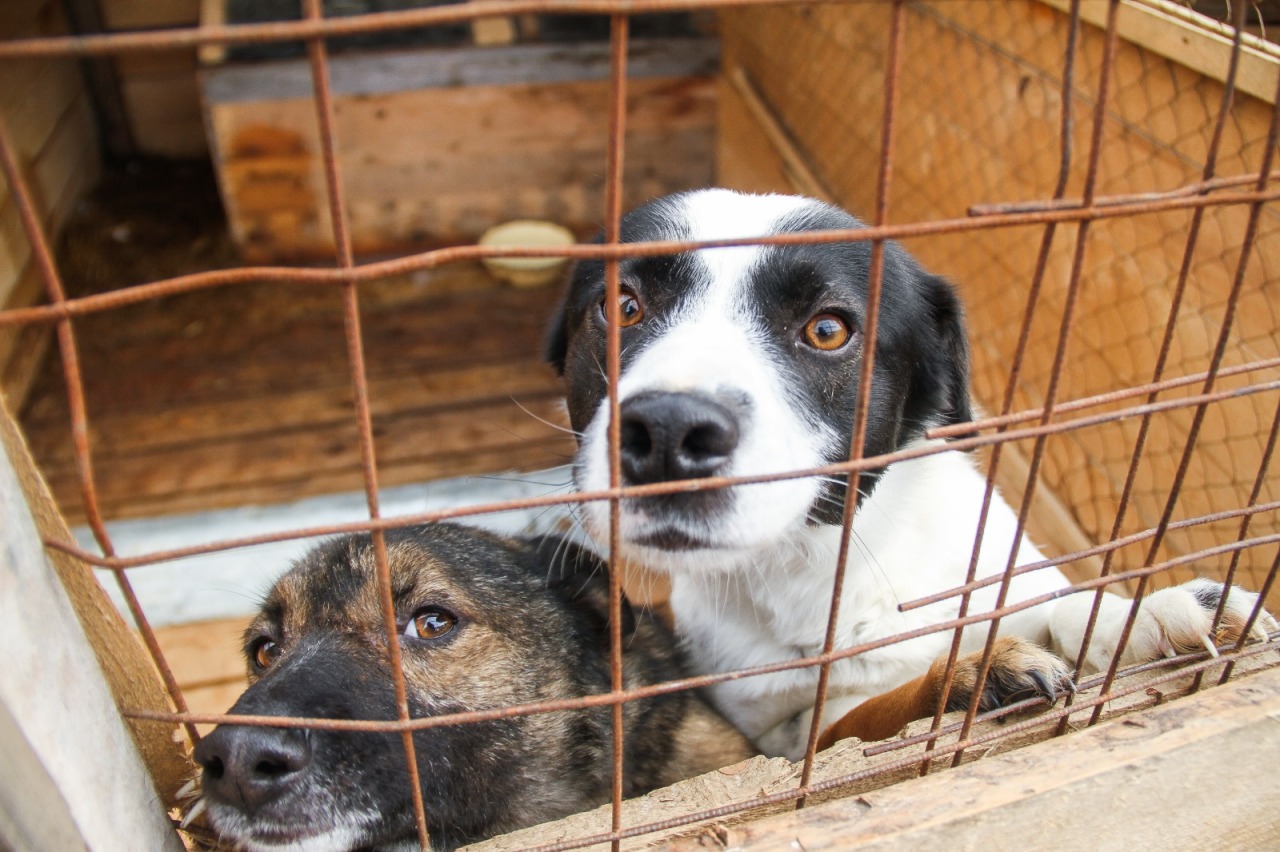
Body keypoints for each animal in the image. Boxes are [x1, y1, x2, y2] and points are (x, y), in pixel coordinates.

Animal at [545, 190, 1274, 757]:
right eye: (624, 306)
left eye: (829, 329)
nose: (669, 433)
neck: (827, 574)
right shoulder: (793, 732)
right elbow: (874, 715)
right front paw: (970, 679)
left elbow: (1069, 607)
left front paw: (1152, 615)